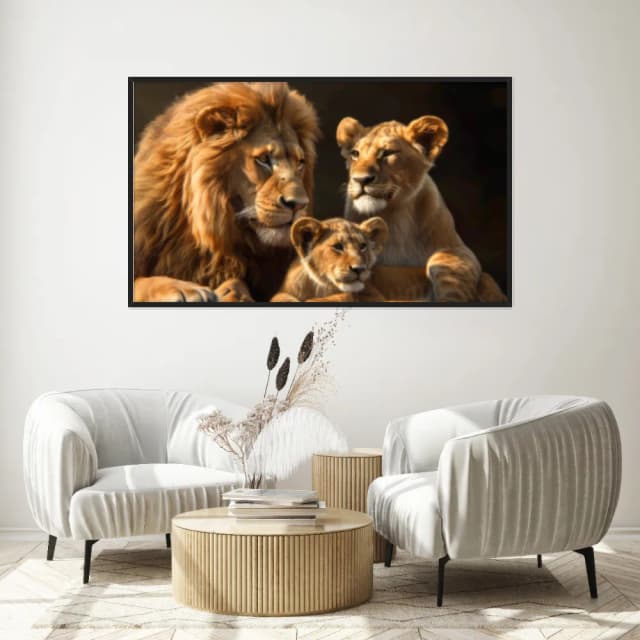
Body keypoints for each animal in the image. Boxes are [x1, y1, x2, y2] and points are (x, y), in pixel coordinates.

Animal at [133, 82, 320, 302]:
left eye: (300, 162)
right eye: (264, 159)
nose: (299, 204)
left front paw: (235, 291)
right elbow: (141, 281)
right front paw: (185, 289)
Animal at [336, 115, 507, 303]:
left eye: (388, 153)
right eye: (355, 154)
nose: (360, 179)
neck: (393, 217)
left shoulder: (463, 251)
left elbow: (446, 262)